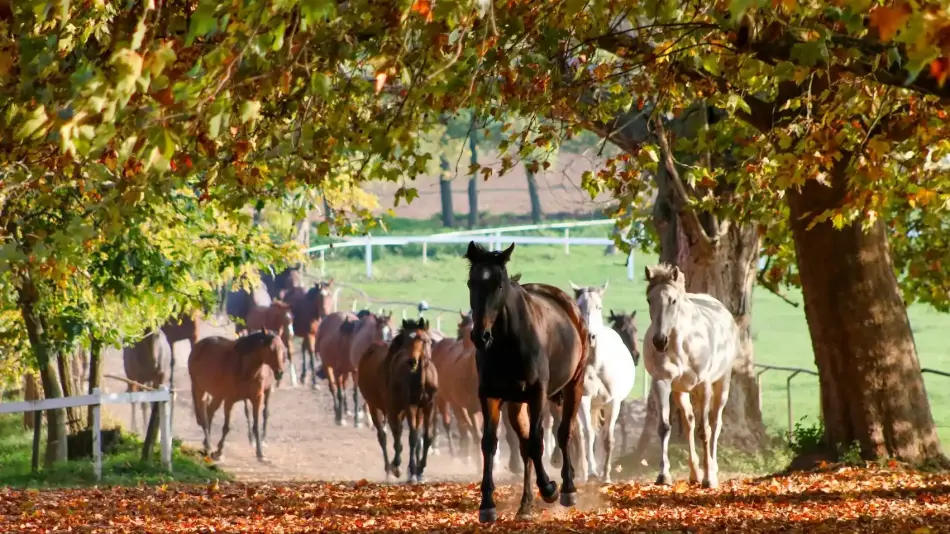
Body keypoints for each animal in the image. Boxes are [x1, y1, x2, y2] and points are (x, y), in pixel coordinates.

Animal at [188, 330, 286, 460]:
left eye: (283, 349)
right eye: (271, 349)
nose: (279, 373)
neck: (246, 368)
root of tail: (198, 345)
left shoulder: (257, 398)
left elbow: (256, 426)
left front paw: (260, 454)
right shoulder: (229, 400)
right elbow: (227, 427)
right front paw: (219, 452)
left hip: (218, 395)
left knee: (210, 411)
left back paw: (206, 442)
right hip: (199, 389)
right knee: (204, 415)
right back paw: (208, 446)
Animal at [464, 244, 592, 528]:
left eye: (499, 284)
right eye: (471, 282)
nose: (480, 337)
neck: (507, 344)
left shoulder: (537, 394)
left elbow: (537, 442)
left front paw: (550, 488)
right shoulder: (489, 395)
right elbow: (490, 444)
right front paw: (487, 506)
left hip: (574, 385)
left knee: (564, 432)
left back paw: (567, 489)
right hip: (515, 404)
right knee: (524, 450)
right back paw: (525, 505)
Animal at [568, 282, 636, 484]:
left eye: (599, 307)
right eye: (579, 307)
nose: (589, 336)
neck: (595, 363)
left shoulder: (613, 402)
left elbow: (608, 438)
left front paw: (606, 475)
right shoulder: (584, 398)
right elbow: (589, 434)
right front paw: (591, 472)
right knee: (580, 435)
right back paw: (583, 472)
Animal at [644, 264, 740, 490]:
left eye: (673, 300)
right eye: (649, 300)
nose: (659, 341)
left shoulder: (703, 385)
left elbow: (704, 430)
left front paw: (709, 478)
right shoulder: (661, 382)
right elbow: (664, 427)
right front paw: (664, 475)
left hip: (722, 383)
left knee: (715, 422)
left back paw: (711, 469)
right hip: (680, 390)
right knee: (688, 422)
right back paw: (695, 473)